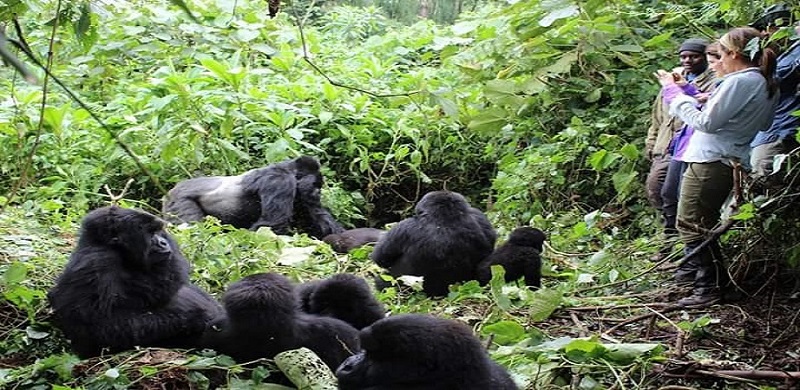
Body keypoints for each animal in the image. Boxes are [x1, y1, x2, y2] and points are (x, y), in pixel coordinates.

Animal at [47, 206, 223, 358]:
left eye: (157, 230)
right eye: (149, 233)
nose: (163, 242)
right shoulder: (95, 262)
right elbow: (97, 329)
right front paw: (195, 318)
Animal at [162, 155, 344, 238]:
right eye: (316, 186)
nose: (318, 194)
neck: (289, 170)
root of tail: (172, 189)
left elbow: (320, 219)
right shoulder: (280, 182)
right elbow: (271, 225)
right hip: (178, 201)